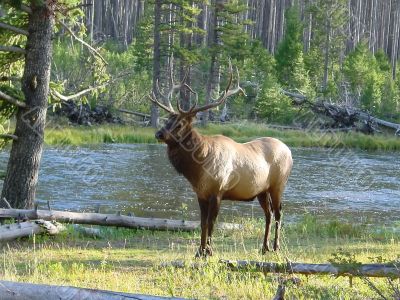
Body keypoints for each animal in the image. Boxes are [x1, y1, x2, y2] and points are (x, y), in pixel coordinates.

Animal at [148, 64, 292, 256]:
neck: (197, 169)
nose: (159, 133)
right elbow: (202, 223)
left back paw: (276, 247)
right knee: (268, 214)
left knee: (278, 213)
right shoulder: (201, 194)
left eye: (180, 124)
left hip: (278, 185)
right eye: (167, 119)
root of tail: (289, 150)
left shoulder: (217, 192)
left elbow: (211, 223)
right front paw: (199, 251)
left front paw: (209, 251)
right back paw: (264, 247)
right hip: (262, 190)